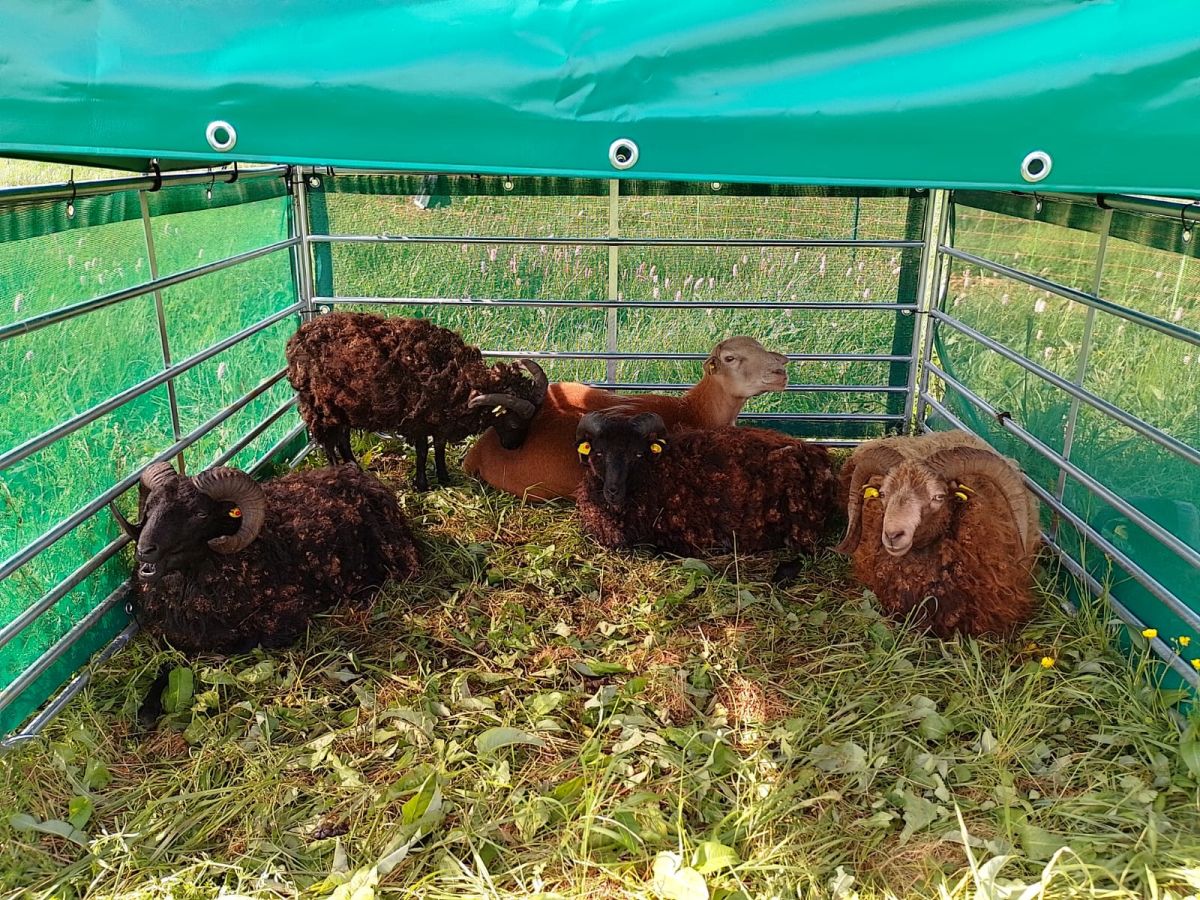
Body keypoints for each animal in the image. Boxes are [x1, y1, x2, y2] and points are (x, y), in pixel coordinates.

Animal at [285, 312, 548, 491]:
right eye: (513, 423)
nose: (513, 447)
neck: (460, 378)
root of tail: (296, 338)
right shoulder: (418, 419)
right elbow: (422, 451)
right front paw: (422, 484)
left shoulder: (440, 419)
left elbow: (439, 448)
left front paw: (444, 478)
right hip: (319, 404)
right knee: (328, 441)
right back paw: (336, 471)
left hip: (344, 406)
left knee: (342, 439)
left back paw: (355, 469)